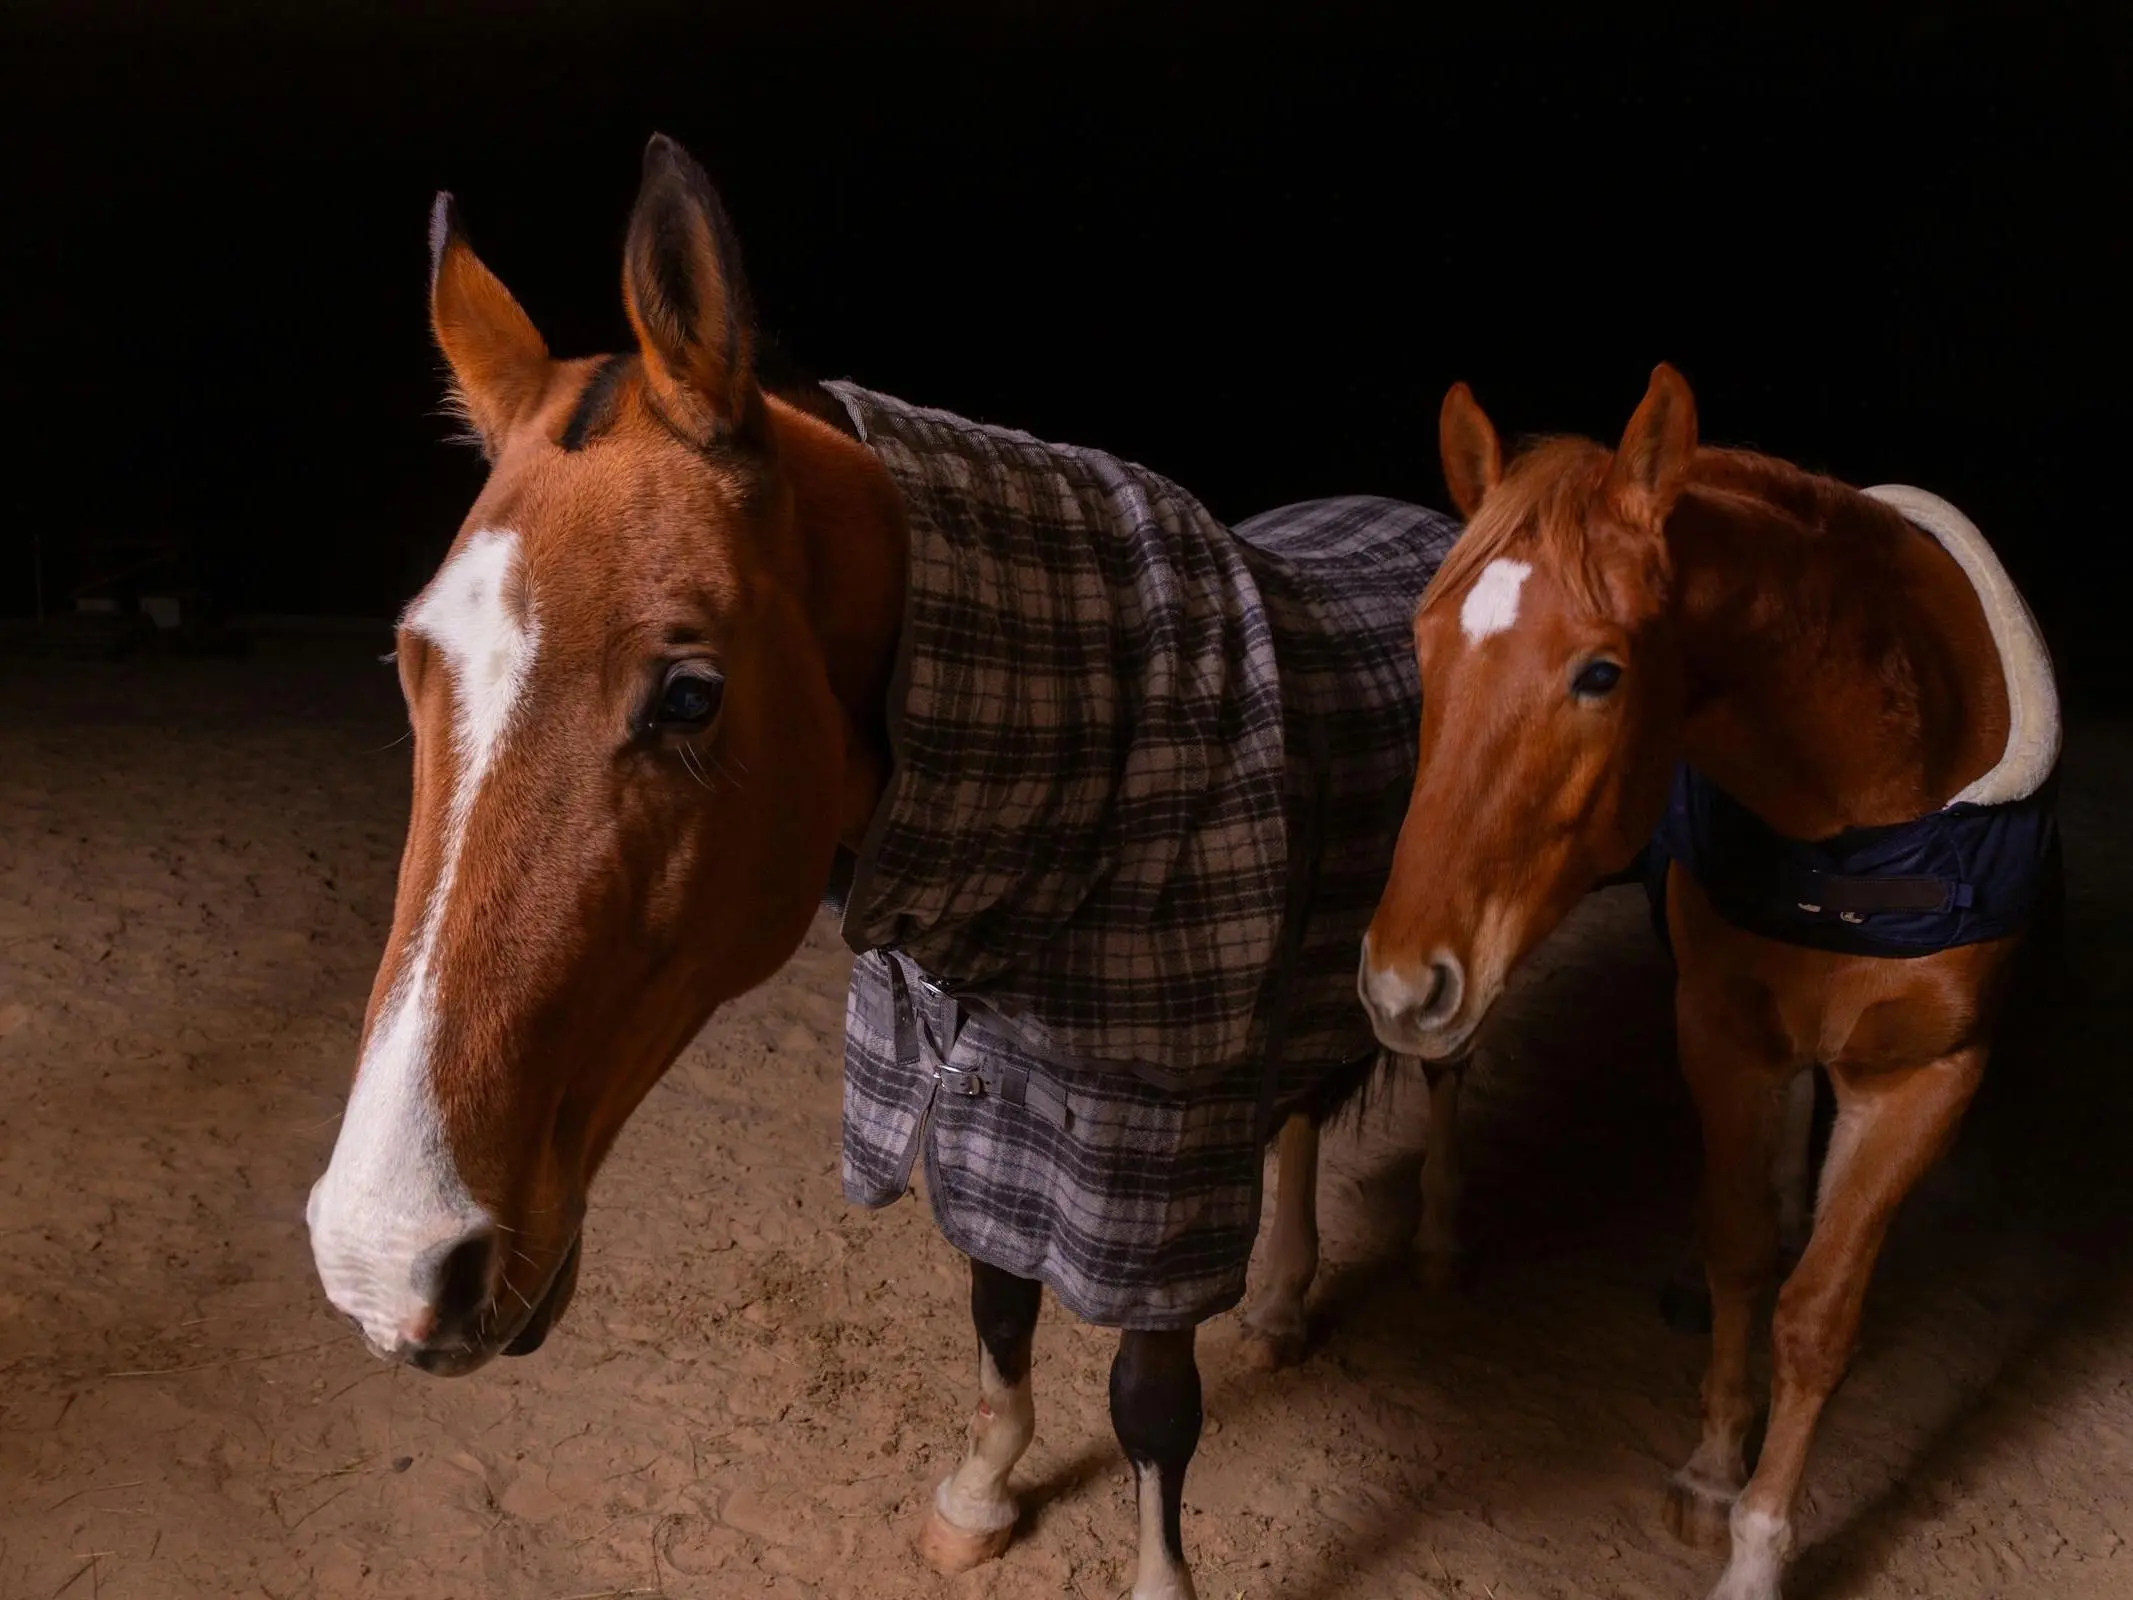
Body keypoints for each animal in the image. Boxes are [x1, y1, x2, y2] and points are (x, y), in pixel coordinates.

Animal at [305, 140, 1467, 1600]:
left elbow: (1149, 1402)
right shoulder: (982, 1109)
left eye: (689, 695)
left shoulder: (1146, 1163)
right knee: (1308, 1108)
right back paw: (1281, 1299)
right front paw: (980, 1492)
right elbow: (999, 1312)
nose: (383, 1256)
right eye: (408, 659)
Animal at [1356, 369, 2056, 1600]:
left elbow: (1817, 1313)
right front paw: (1715, 1468)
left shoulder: (1925, 1079)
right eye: (1424, 644)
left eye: (1599, 673)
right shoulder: (1723, 1033)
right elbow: (1738, 1255)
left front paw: (1760, 1547)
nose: (1400, 986)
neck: (1860, 826)